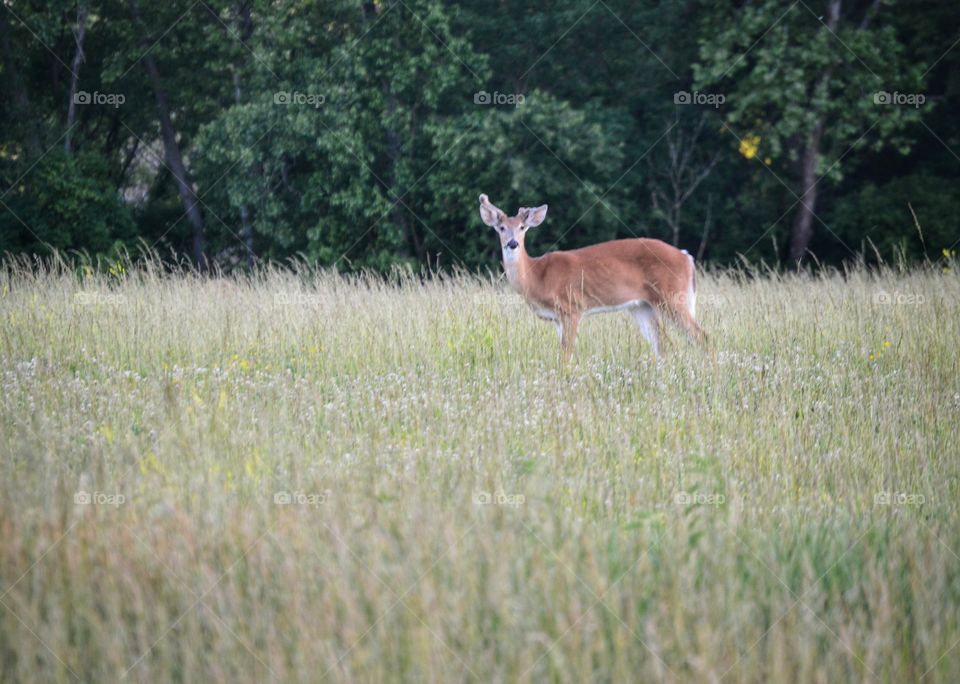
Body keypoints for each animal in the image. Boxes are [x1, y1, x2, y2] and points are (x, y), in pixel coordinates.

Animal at [478, 193, 705, 361]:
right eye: (501, 228)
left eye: (522, 228)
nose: (512, 243)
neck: (537, 276)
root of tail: (687, 257)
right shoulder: (558, 318)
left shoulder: (572, 307)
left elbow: (566, 354)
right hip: (642, 306)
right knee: (662, 345)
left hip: (673, 296)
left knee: (701, 337)